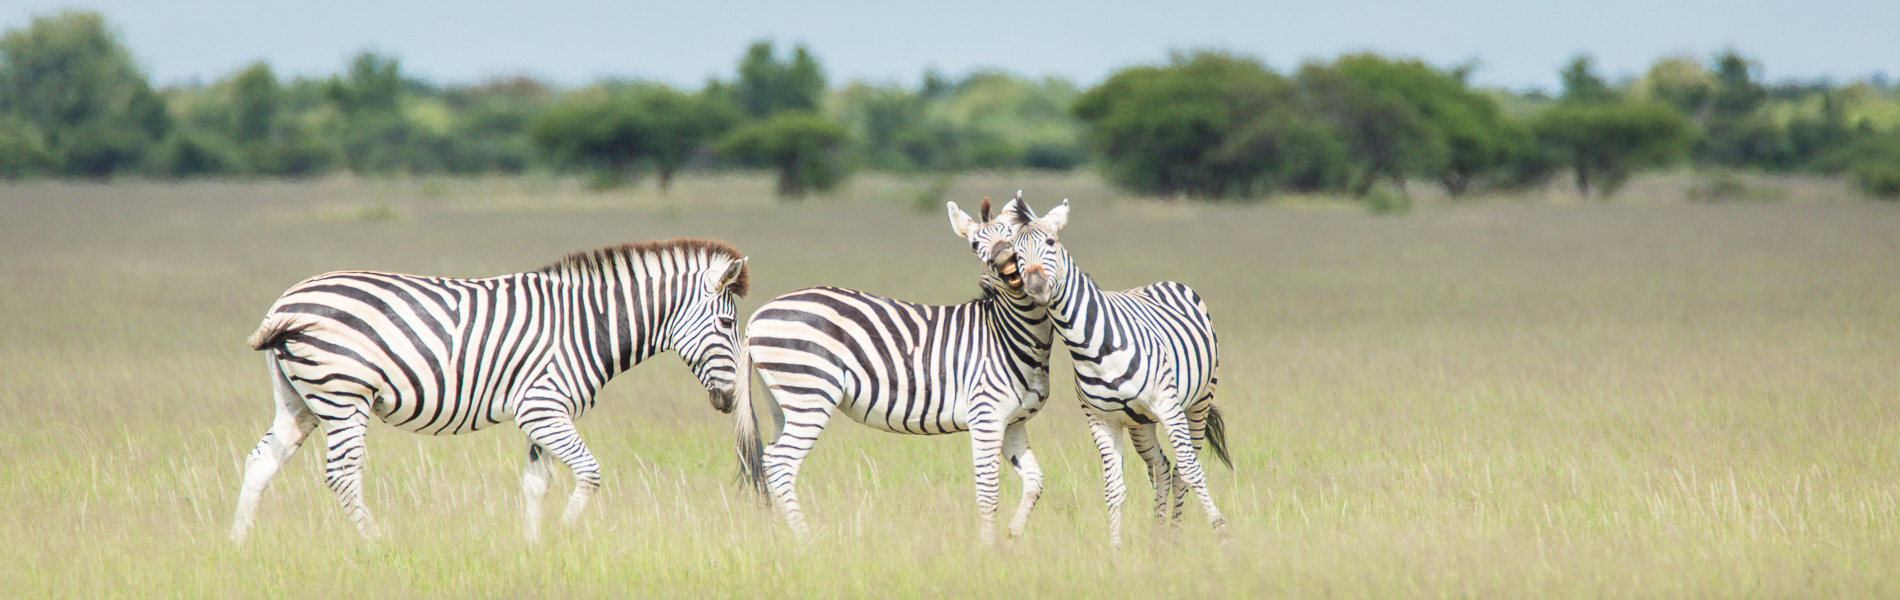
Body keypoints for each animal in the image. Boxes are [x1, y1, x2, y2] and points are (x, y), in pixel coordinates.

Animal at [229, 238, 750, 543]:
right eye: (727, 325)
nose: (728, 401)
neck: (588, 324)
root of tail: (287, 301)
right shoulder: (543, 407)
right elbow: (590, 472)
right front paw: (565, 535)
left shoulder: (542, 413)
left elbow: (537, 484)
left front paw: (535, 549)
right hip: (343, 396)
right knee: (341, 473)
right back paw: (377, 544)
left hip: (300, 401)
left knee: (261, 461)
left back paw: (238, 546)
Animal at [731, 196, 1054, 545]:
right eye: (974, 245)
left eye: (1013, 237)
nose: (1005, 262)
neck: (1009, 333)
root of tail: (758, 315)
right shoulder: (986, 416)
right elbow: (988, 490)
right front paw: (986, 548)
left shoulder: (1013, 423)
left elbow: (1035, 480)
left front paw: (1012, 535)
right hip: (810, 393)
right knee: (782, 463)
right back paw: (809, 541)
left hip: (782, 400)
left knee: (769, 458)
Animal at [996, 199, 1230, 546]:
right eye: (1015, 254)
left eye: (1051, 242)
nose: (1036, 286)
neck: (1091, 347)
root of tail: (1160, 283)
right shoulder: (1102, 420)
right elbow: (1114, 488)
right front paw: (1115, 549)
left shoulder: (1168, 406)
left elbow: (1191, 471)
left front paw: (1222, 533)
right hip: (1140, 423)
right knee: (1161, 467)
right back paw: (1159, 536)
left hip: (1198, 404)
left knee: (1182, 469)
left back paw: (1174, 535)